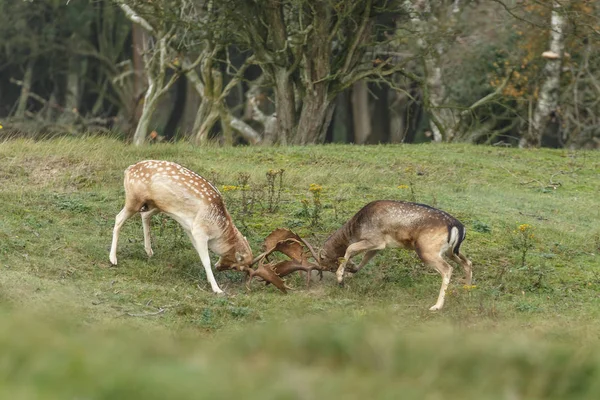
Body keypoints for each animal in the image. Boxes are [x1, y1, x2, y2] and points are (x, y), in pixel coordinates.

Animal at [109, 159, 288, 294]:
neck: (218, 229)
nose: (219, 267)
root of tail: (128, 170)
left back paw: (149, 251)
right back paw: (113, 259)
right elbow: (206, 260)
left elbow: (201, 256)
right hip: (134, 199)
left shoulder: (190, 229)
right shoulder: (200, 231)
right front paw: (217, 289)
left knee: (145, 215)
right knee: (118, 218)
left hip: (154, 204)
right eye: (238, 266)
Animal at [318, 202, 474, 310]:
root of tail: (458, 226)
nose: (323, 274)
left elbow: (350, 248)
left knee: (447, 269)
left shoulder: (375, 239)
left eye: (325, 264)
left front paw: (341, 278)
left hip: (427, 250)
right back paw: (467, 293)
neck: (356, 229)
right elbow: (365, 258)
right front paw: (350, 273)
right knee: (468, 262)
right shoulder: (378, 245)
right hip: (451, 251)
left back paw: (436, 306)